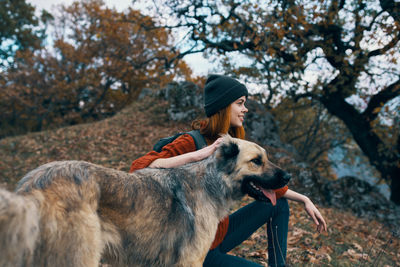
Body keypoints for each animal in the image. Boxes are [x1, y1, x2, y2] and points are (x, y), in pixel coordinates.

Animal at [0, 137, 290, 266]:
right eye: (256, 161)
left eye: (266, 158)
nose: (288, 176)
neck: (211, 181)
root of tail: (33, 187)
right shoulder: (190, 261)